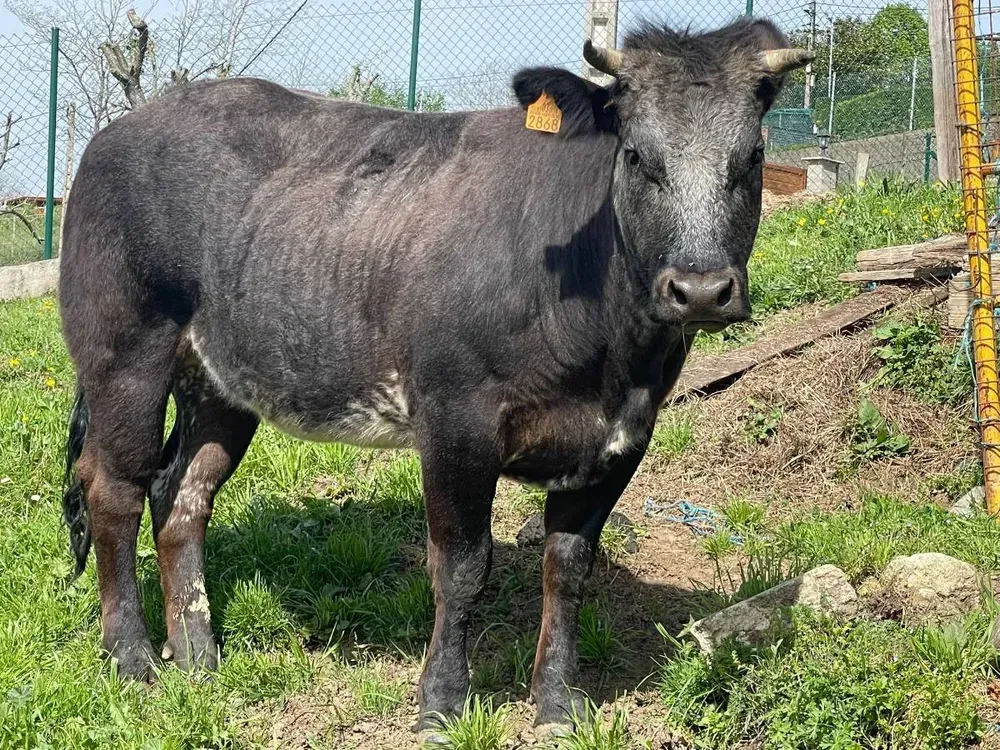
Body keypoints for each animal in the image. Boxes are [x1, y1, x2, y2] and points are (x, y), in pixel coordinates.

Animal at [58, 17, 810, 733]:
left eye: (752, 157)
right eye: (634, 154)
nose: (701, 289)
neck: (607, 360)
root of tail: (119, 130)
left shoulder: (624, 434)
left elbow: (568, 568)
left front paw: (557, 704)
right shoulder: (454, 418)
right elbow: (462, 567)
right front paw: (442, 703)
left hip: (220, 381)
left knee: (181, 494)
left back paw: (197, 656)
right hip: (124, 352)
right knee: (115, 491)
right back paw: (132, 660)